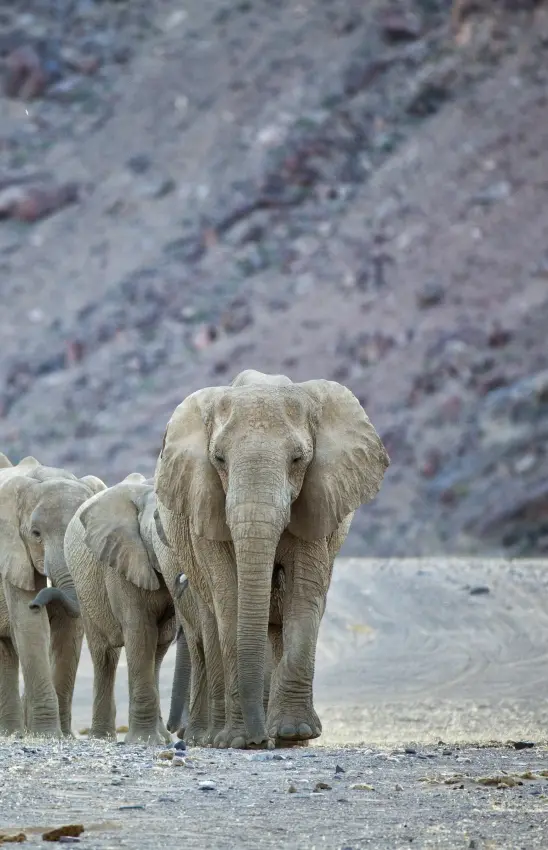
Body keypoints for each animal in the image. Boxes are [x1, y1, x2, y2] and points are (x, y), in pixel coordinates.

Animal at [0, 453, 106, 738]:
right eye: (36, 534)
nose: (38, 604)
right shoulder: (11, 553)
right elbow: (30, 625)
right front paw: (47, 734)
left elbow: (69, 631)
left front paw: (64, 736)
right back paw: (12, 734)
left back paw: (14, 732)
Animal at [57, 472, 178, 745]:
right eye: (157, 527)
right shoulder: (121, 563)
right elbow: (140, 632)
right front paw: (144, 742)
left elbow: (160, 639)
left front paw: (156, 739)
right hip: (84, 589)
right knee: (104, 655)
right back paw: (102, 737)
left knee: (158, 650)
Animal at [154, 369, 390, 749]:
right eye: (219, 459)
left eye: (298, 459)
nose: (258, 740)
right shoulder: (204, 507)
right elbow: (229, 596)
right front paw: (238, 741)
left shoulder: (317, 503)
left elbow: (304, 594)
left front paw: (295, 734)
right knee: (211, 620)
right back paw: (217, 737)